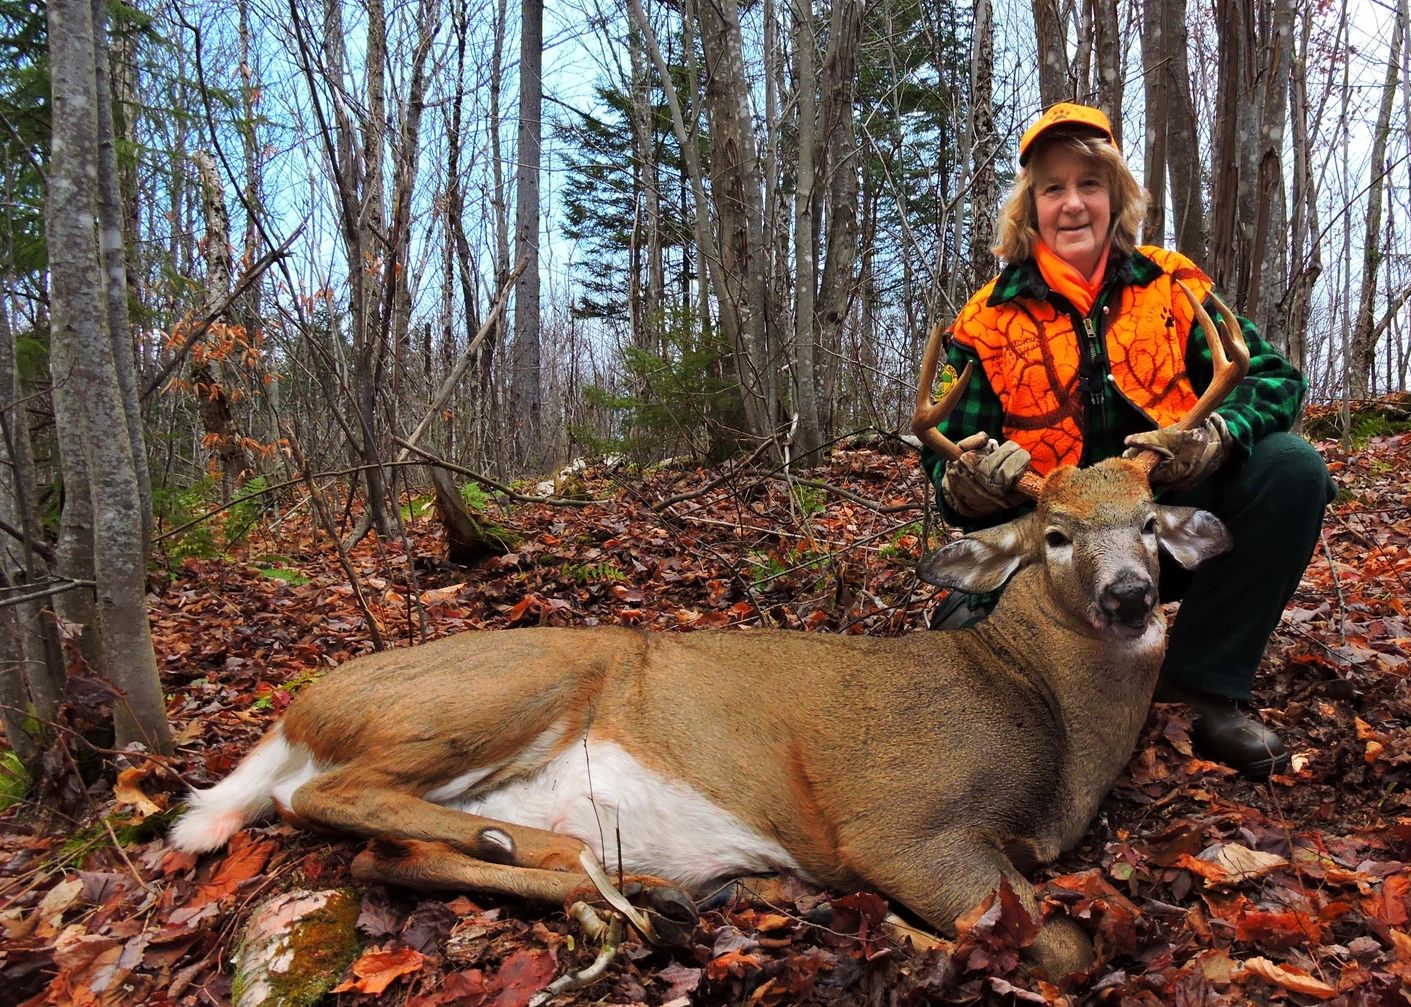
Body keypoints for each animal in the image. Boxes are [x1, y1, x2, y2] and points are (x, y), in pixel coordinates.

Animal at [170, 284, 1248, 984]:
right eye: (1055, 533)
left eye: (1148, 523)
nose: (1127, 595)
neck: (1042, 715)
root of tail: (297, 712)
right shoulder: (896, 818)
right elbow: (1066, 946)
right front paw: (917, 944)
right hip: (511, 680)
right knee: (327, 796)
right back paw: (576, 858)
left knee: (373, 854)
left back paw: (630, 885)